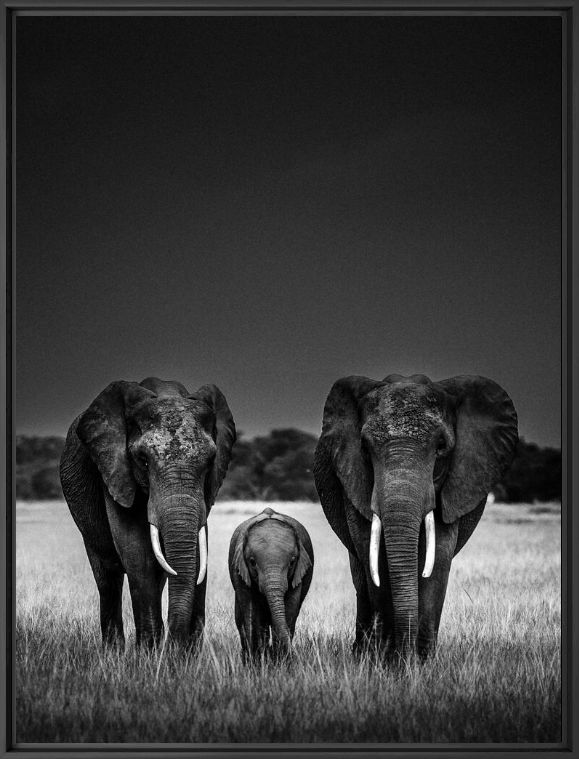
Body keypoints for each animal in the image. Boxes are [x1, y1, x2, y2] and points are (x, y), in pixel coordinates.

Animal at [59, 378, 236, 652]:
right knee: (107, 579)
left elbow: (198, 552)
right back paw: (113, 653)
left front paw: (185, 656)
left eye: (210, 461)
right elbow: (136, 552)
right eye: (142, 460)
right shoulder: (115, 471)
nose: (176, 647)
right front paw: (148, 655)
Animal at [229, 510, 314, 660]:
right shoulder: (238, 570)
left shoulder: (297, 573)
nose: (293, 655)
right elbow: (251, 609)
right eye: (252, 562)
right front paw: (257, 660)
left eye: (292, 562)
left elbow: (290, 607)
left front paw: (280, 660)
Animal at [314, 378, 520, 664]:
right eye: (364, 448)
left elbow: (439, 557)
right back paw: (362, 654)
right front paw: (388, 662)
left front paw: (420, 664)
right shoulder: (353, 480)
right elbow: (373, 557)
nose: (406, 656)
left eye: (441, 447)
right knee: (361, 574)